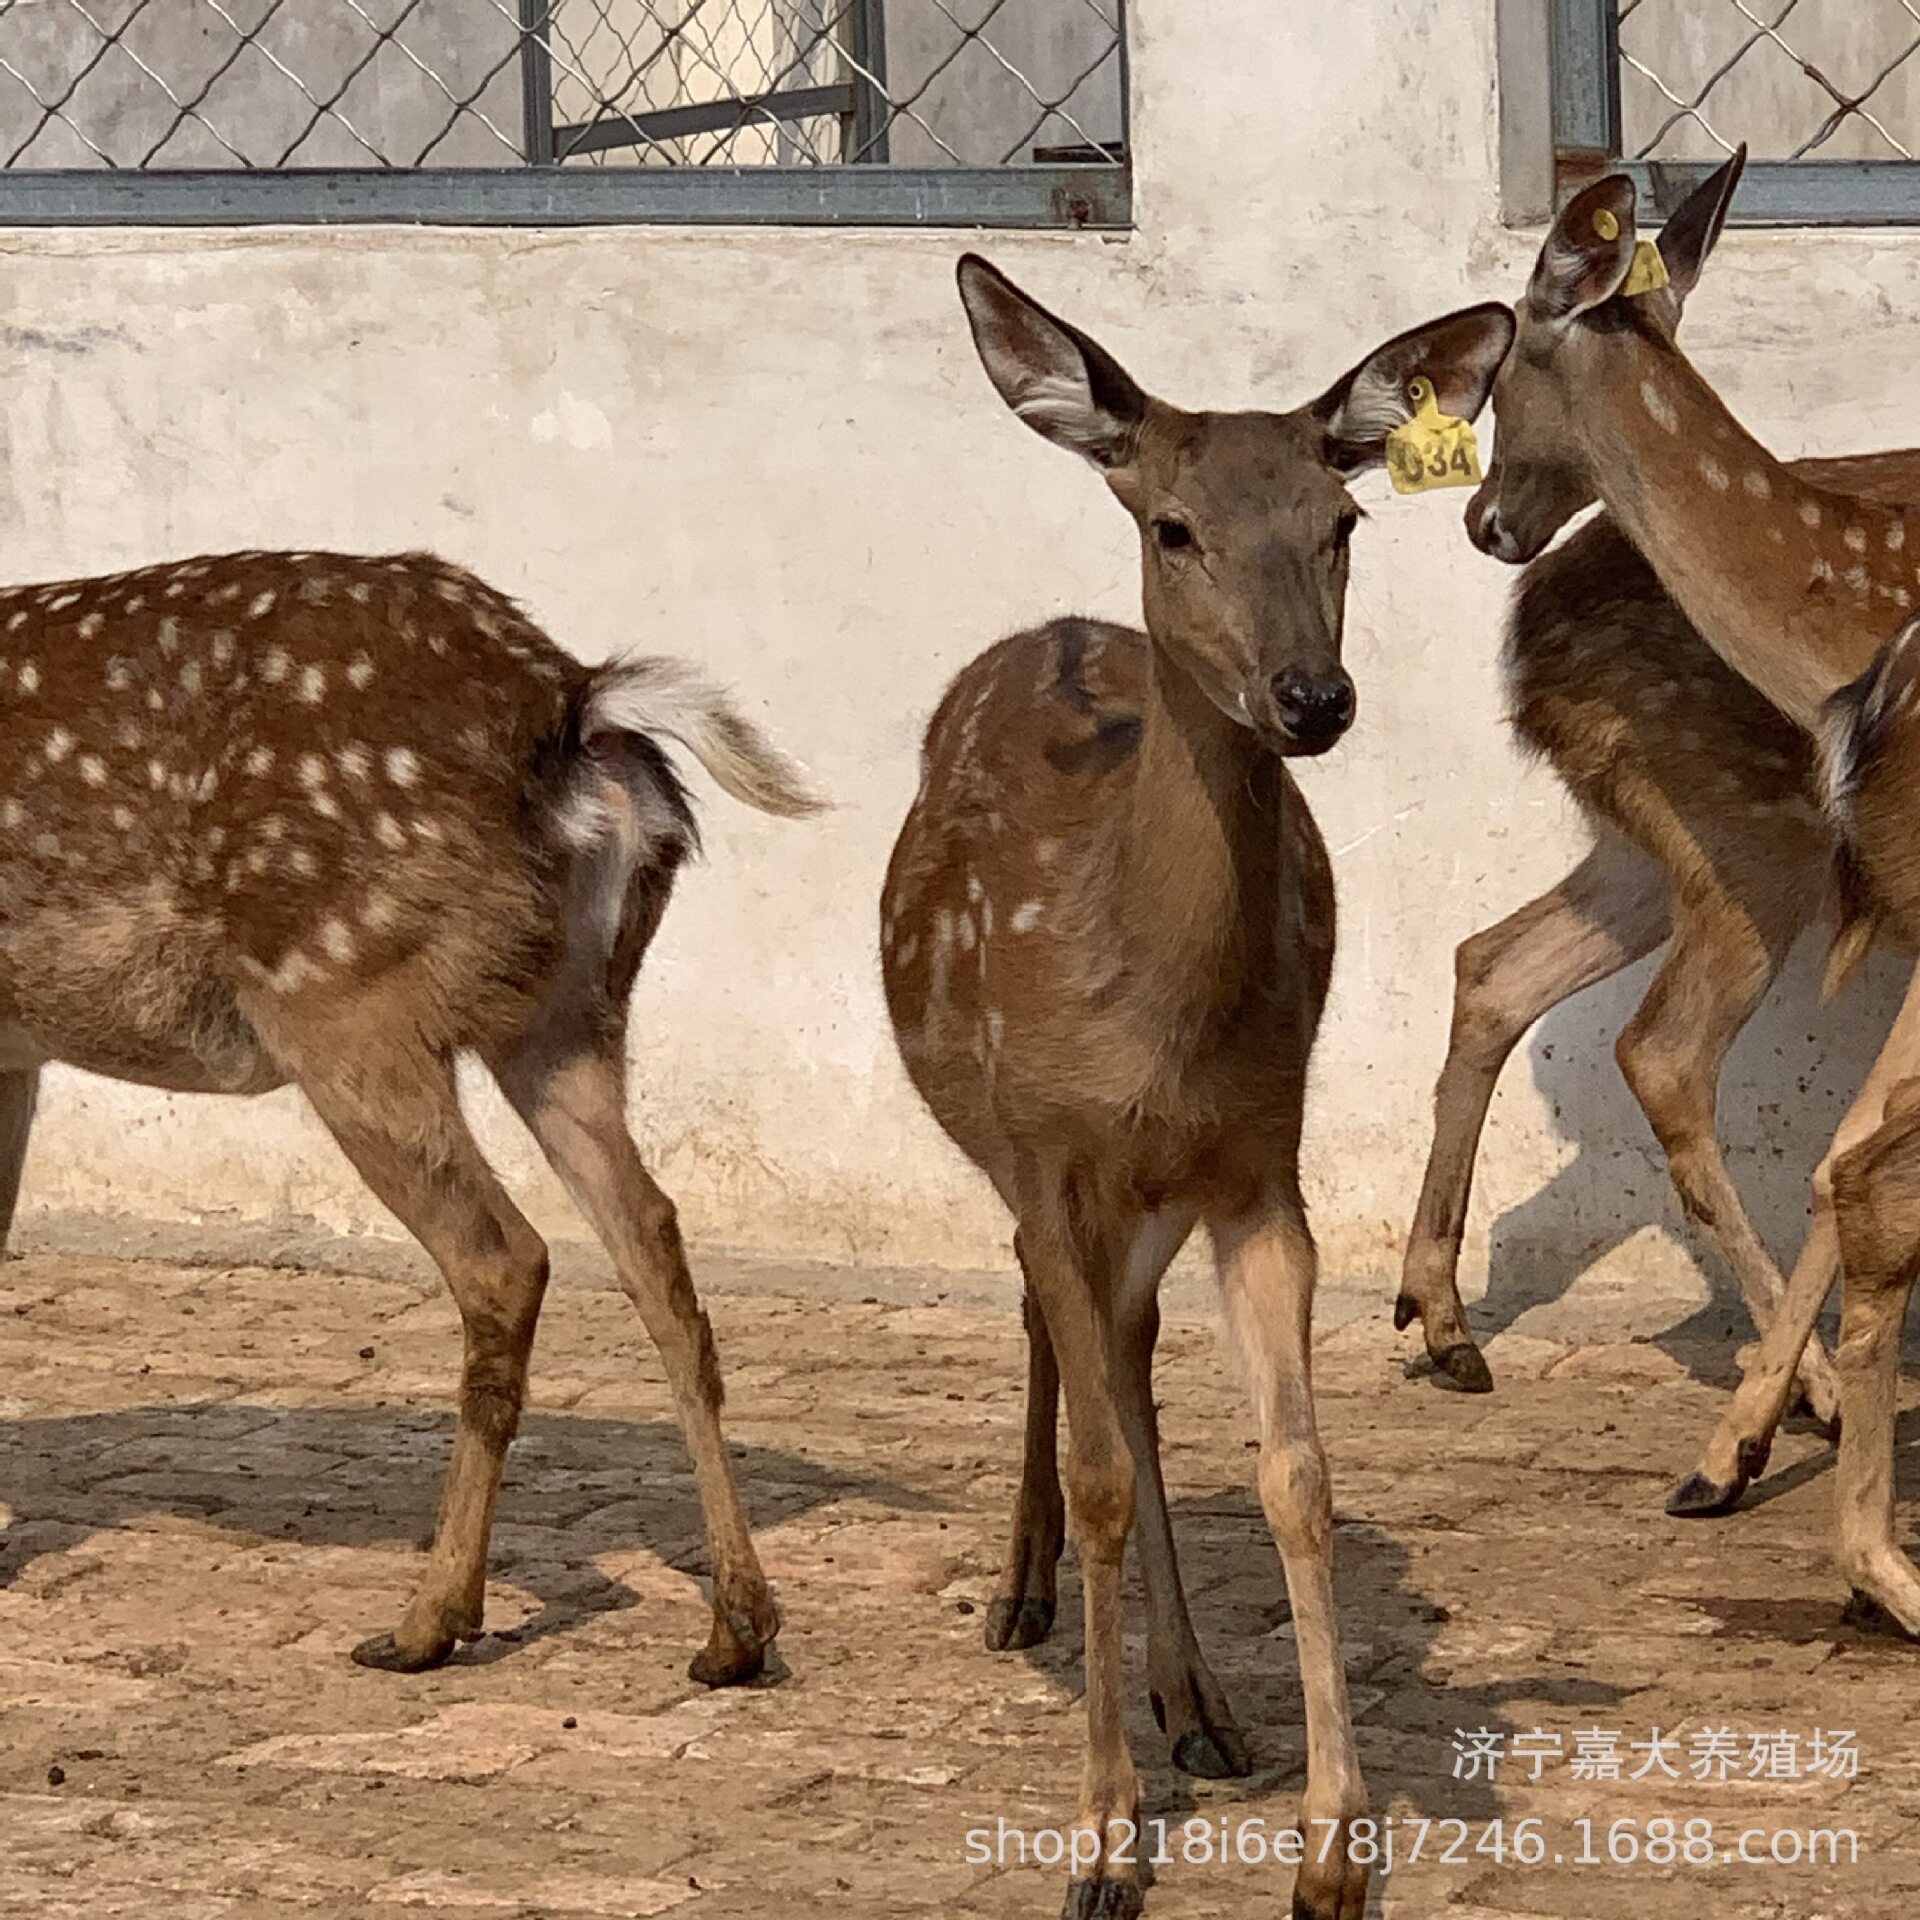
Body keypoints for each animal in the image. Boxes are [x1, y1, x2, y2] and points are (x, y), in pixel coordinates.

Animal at [0, 546, 820, 1681]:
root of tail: (572, 702)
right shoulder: (14, 1053)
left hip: (345, 996)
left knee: (505, 1256)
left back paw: (428, 1621)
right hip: (571, 1015)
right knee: (653, 1238)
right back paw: (735, 1630)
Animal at [880, 253, 1514, 1920]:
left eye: (1344, 519)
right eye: (1176, 526)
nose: (1313, 695)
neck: (1150, 1013)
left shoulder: (1258, 1165)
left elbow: (1297, 1472)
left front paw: (1333, 1853)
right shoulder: (1048, 1151)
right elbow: (1100, 1465)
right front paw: (1103, 1846)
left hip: (1151, 1193)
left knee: (1129, 1349)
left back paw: (1200, 1704)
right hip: (1014, 1148)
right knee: (1054, 1328)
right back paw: (1023, 1593)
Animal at [1467, 143, 1920, 1631]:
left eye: (1497, 359)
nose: (1487, 518)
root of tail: (1523, 659)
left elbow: (1846, 1150)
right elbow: (1846, 1151)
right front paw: (1745, 1451)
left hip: (1724, 850)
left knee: (1596, 1017)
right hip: (1701, 845)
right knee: (1577, 1006)